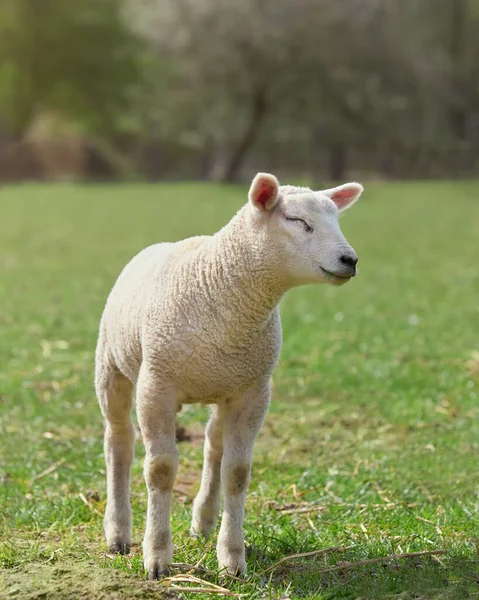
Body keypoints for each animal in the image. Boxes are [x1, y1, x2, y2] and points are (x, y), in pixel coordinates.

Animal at [94, 172, 364, 576]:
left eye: (337, 219)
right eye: (297, 220)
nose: (350, 260)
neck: (223, 289)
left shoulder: (253, 392)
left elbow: (236, 473)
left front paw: (232, 559)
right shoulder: (156, 385)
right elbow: (160, 470)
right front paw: (157, 556)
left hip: (222, 382)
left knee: (213, 444)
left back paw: (204, 520)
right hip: (112, 369)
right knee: (119, 443)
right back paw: (118, 532)